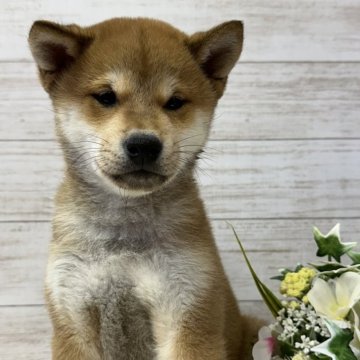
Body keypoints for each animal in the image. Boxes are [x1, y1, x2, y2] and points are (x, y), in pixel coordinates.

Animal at [27, 17, 258, 360]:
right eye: (106, 96)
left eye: (174, 102)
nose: (144, 145)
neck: (124, 237)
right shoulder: (73, 312)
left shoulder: (188, 307)